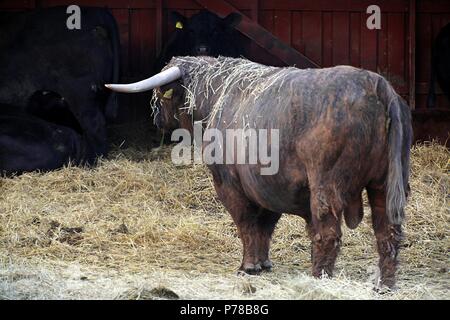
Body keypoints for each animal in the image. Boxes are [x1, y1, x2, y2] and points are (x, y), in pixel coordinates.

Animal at [105, 56, 412, 288]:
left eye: (160, 95)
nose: (156, 119)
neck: (218, 95)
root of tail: (375, 84)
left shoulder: (229, 183)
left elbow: (246, 224)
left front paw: (248, 266)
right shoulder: (268, 187)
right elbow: (265, 226)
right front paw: (263, 263)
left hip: (327, 185)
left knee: (328, 233)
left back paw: (318, 277)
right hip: (385, 184)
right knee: (388, 232)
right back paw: (384, 285)